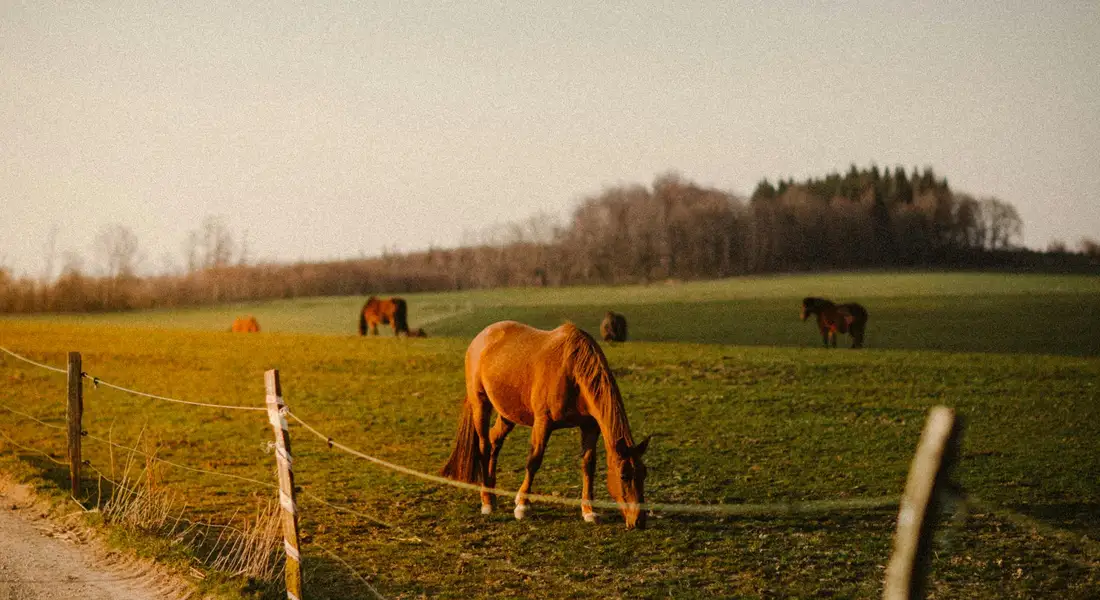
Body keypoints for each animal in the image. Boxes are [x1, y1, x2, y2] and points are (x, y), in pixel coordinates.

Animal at [441, 321, 650, 529]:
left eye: (644, 474)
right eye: (624, 476)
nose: (639, 520)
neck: (572, 370)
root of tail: (481, 337)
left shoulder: (590, 427)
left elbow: (588, 465)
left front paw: (589, 511)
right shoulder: (543, 422)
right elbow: (534, 461)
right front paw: (523, 506)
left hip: (507, 414)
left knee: (494, 442)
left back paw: (492, 492)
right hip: (480, 404)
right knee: (484, 446)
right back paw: (486, 501)